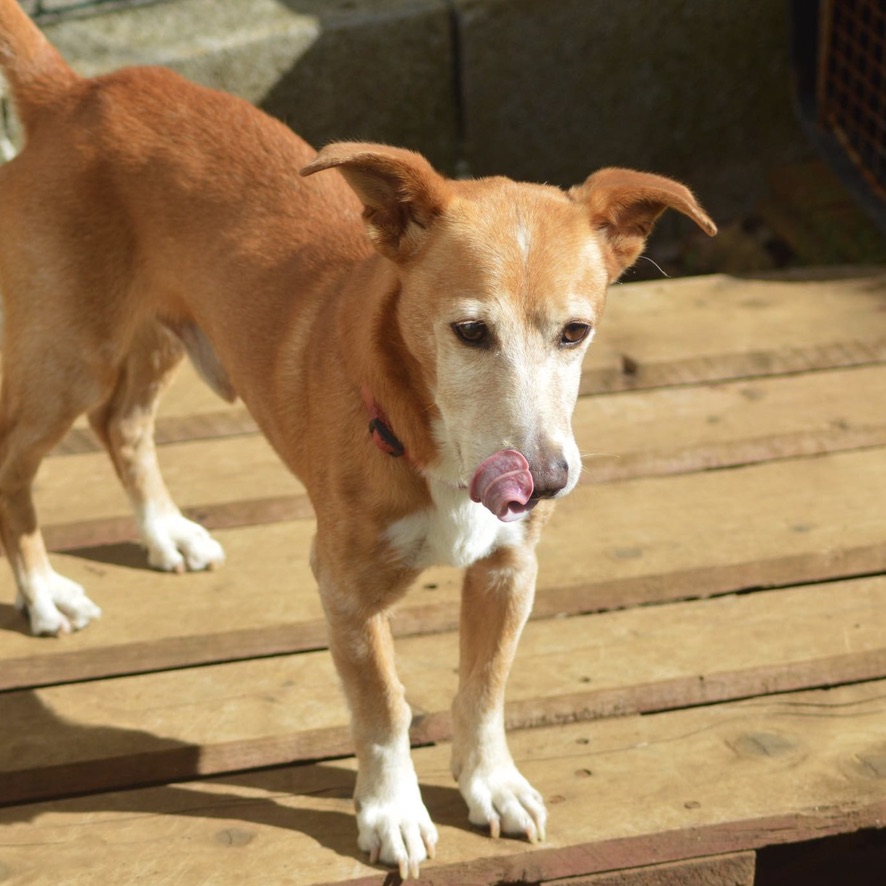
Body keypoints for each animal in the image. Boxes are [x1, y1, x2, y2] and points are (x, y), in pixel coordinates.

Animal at [0, 1, 716, 880]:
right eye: (469, 332)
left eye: (577, 332)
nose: (545, 481)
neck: (431, 443)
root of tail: (74, 91)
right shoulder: (344, 588)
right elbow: (383, 708)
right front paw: (392, 813)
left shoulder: (510, 571)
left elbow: (484, 686)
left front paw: (491, 783)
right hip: (71, 352)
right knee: (17, 463)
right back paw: (42, 591)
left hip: (165, 329)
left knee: (123, 423)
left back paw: (164, 530)